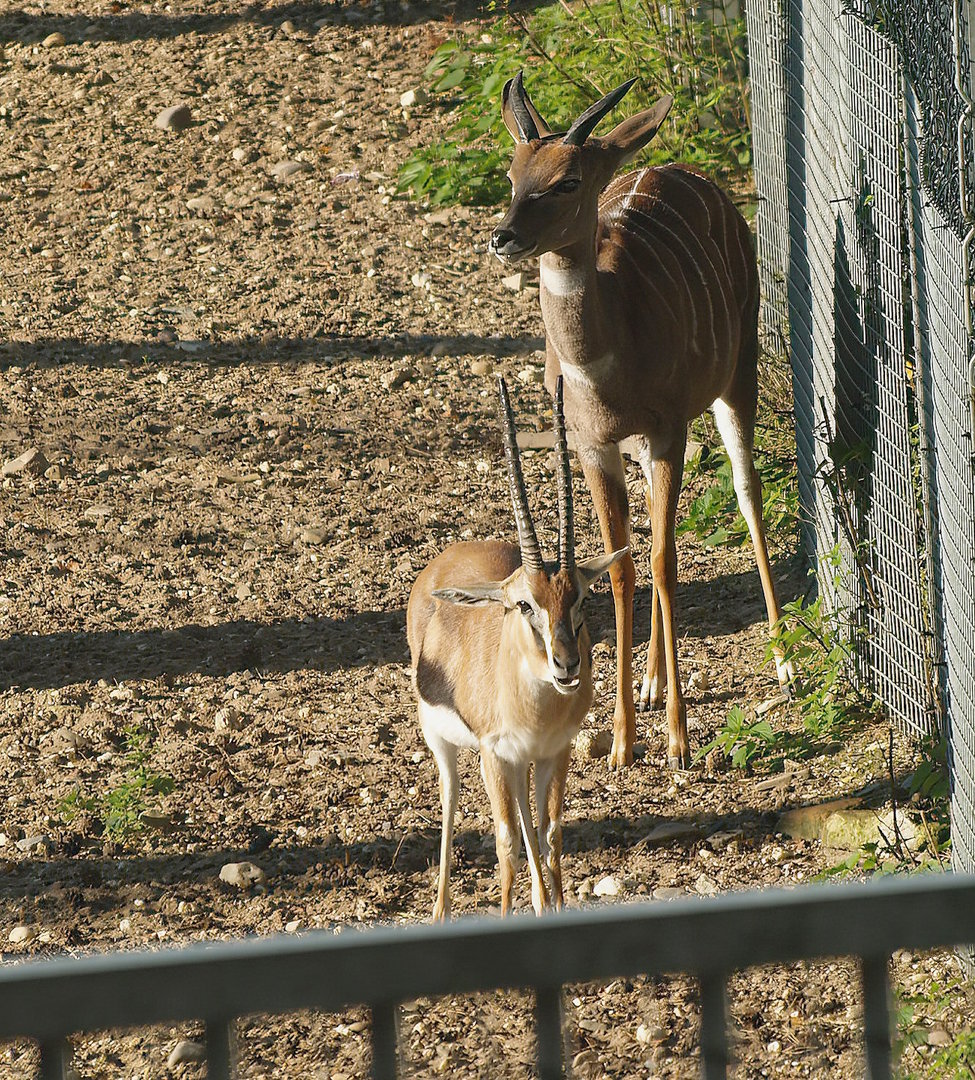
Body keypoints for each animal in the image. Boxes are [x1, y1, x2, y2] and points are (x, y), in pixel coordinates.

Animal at [407, 376, 626, 920]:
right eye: (525, 605)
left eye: (580, 599)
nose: (567, 665)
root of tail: (446, 560)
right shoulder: (493, 753)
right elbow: (505, 842)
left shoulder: (554, 750)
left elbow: (550, 835)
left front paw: (554, 907)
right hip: (448, 747)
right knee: (451, 805)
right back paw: (441, 911)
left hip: (521, 761)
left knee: (529, 819)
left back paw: (540, 902)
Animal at [489, 73, 793, 771]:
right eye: (513, 172)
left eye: (568, 179)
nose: (504, 236)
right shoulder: (594, 443)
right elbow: (624, 563)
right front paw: (624, 739)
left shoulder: (667, 428)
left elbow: (663, 558)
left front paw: (679, 741)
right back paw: (652, 683)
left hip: (739, 369)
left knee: (746, 491)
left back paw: (785, 659)